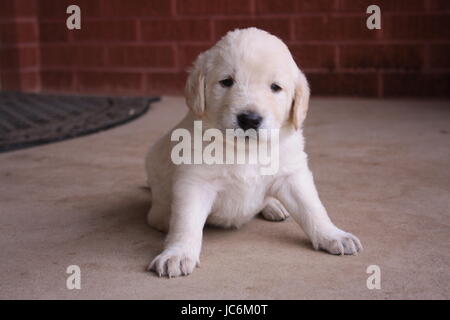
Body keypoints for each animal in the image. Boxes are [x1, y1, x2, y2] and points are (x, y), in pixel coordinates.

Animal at [146, 28, 364, 278]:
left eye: (275, 87)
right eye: (226, 82)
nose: (249, 119)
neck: (247, 149)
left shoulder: (292, 174)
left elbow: (312, 208)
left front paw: (333, 235)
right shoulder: (195, 181)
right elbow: (186, 222)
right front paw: (178, 253)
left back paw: (274, 206)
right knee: (159, 214)